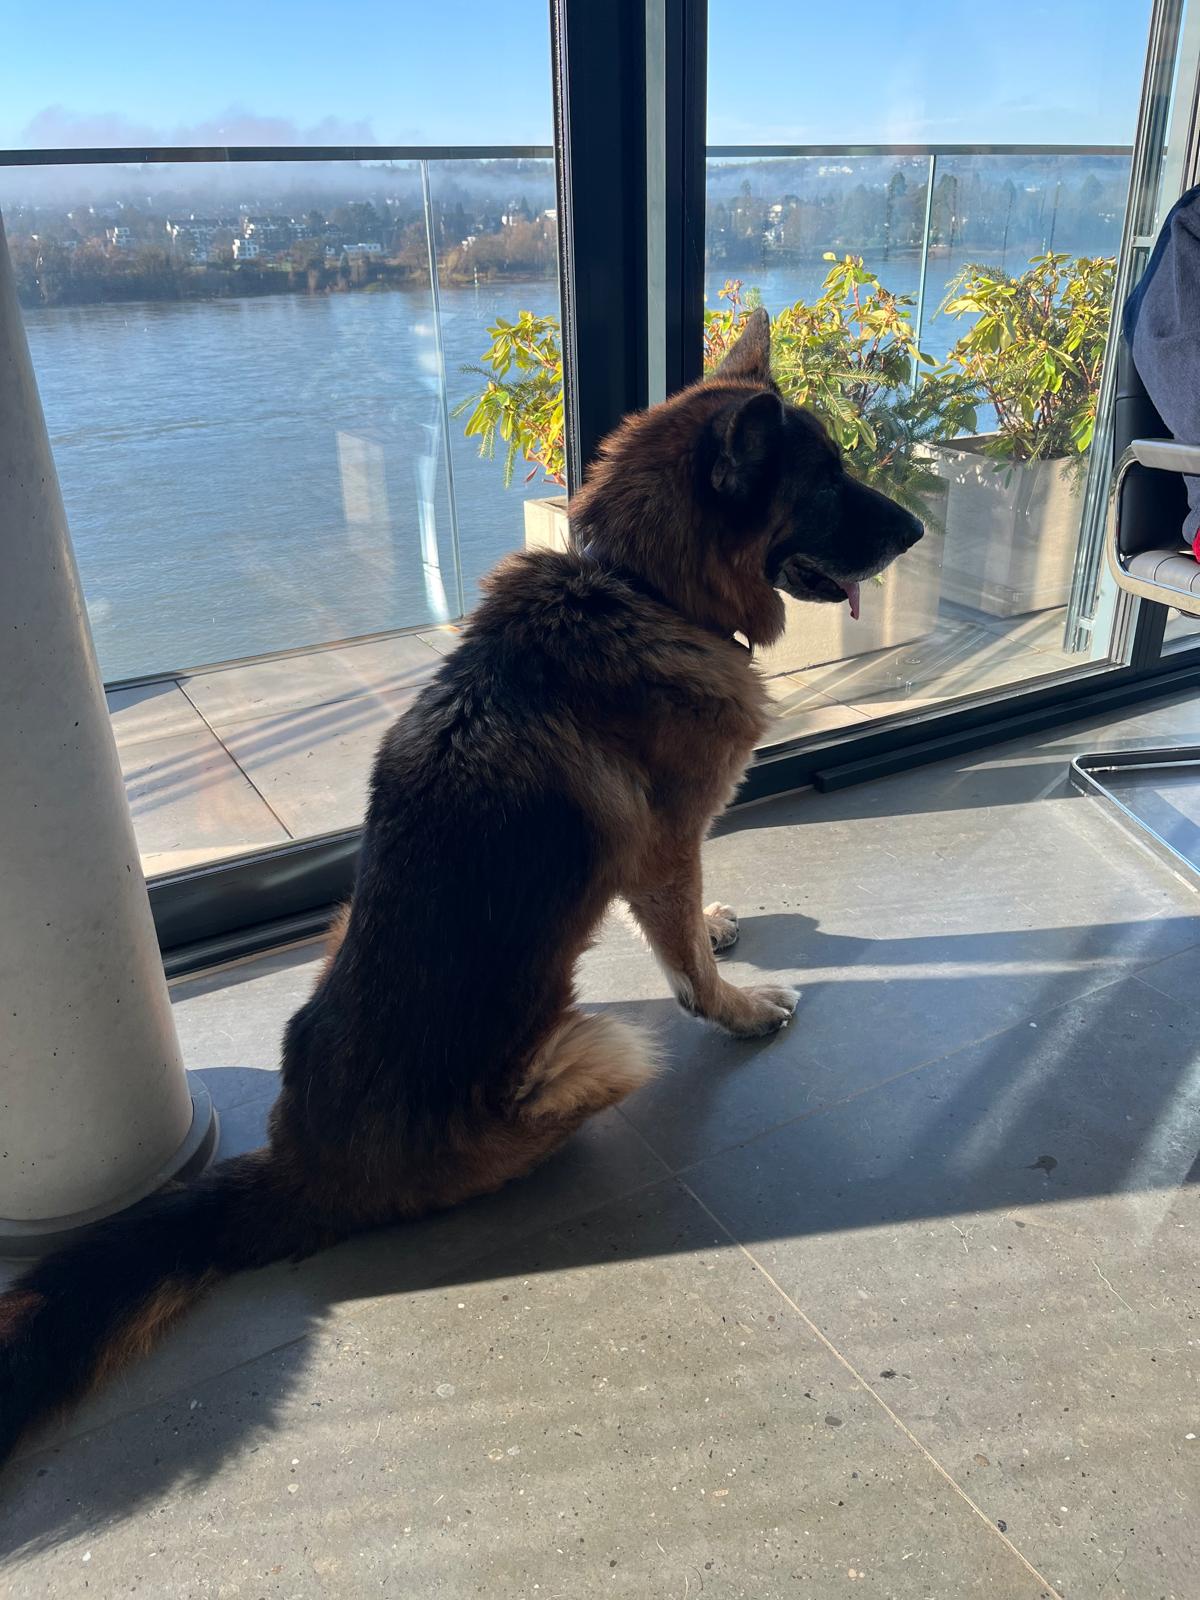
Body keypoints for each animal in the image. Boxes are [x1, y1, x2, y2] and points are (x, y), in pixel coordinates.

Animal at [0, 309, 921, 1465]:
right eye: (829, 481)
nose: (918, 530)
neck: (639, 585)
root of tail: (298, 1164)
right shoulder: (667, 846)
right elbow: (683, 964)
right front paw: (738, 1005)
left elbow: (685, 925)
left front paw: (716, 928)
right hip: (593, 1052)